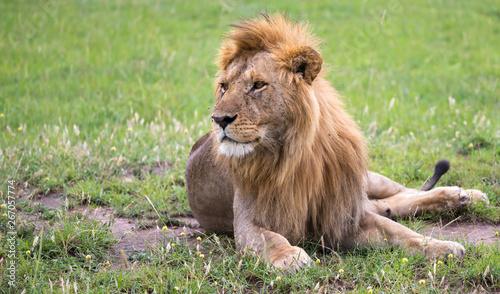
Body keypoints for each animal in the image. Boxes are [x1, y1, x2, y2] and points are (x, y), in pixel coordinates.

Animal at [185, 13, 488, 272]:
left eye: (258, 85)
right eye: (224, 86)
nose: (219, 119)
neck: (292, 153)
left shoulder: (343, 213)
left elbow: (401, 232)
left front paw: (442, 247)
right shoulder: (246, 221)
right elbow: (268, 238)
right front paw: (289, 256)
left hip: (366, 179)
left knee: (405, 192)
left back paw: (463, 195)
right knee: (393, 203)